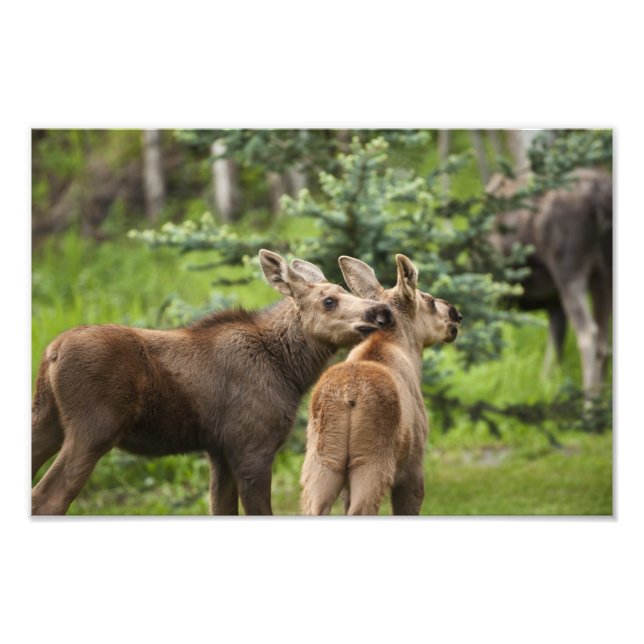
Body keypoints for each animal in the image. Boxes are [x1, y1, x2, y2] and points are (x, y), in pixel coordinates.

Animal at [31, 250, 395, 516]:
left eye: (344, 289)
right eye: (329, 301)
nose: (381, 312)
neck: (291, 371)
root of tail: (52, 353)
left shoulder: (219, 451)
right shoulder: (252, 447)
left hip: (46, 421)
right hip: (93, 429)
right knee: (49, 498)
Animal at [299, 254, 461, 516]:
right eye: (429, 301)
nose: (456, 314)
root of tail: (348, 397)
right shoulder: (413, 465)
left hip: (323, 463)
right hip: (372, 463)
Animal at [487, 167, 612, 393]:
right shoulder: (554, 303)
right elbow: (554, 351)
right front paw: (546, 385)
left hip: (569, 269)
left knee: (588, 334)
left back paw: (588, 398)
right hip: (605, 274)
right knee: (604, 342)